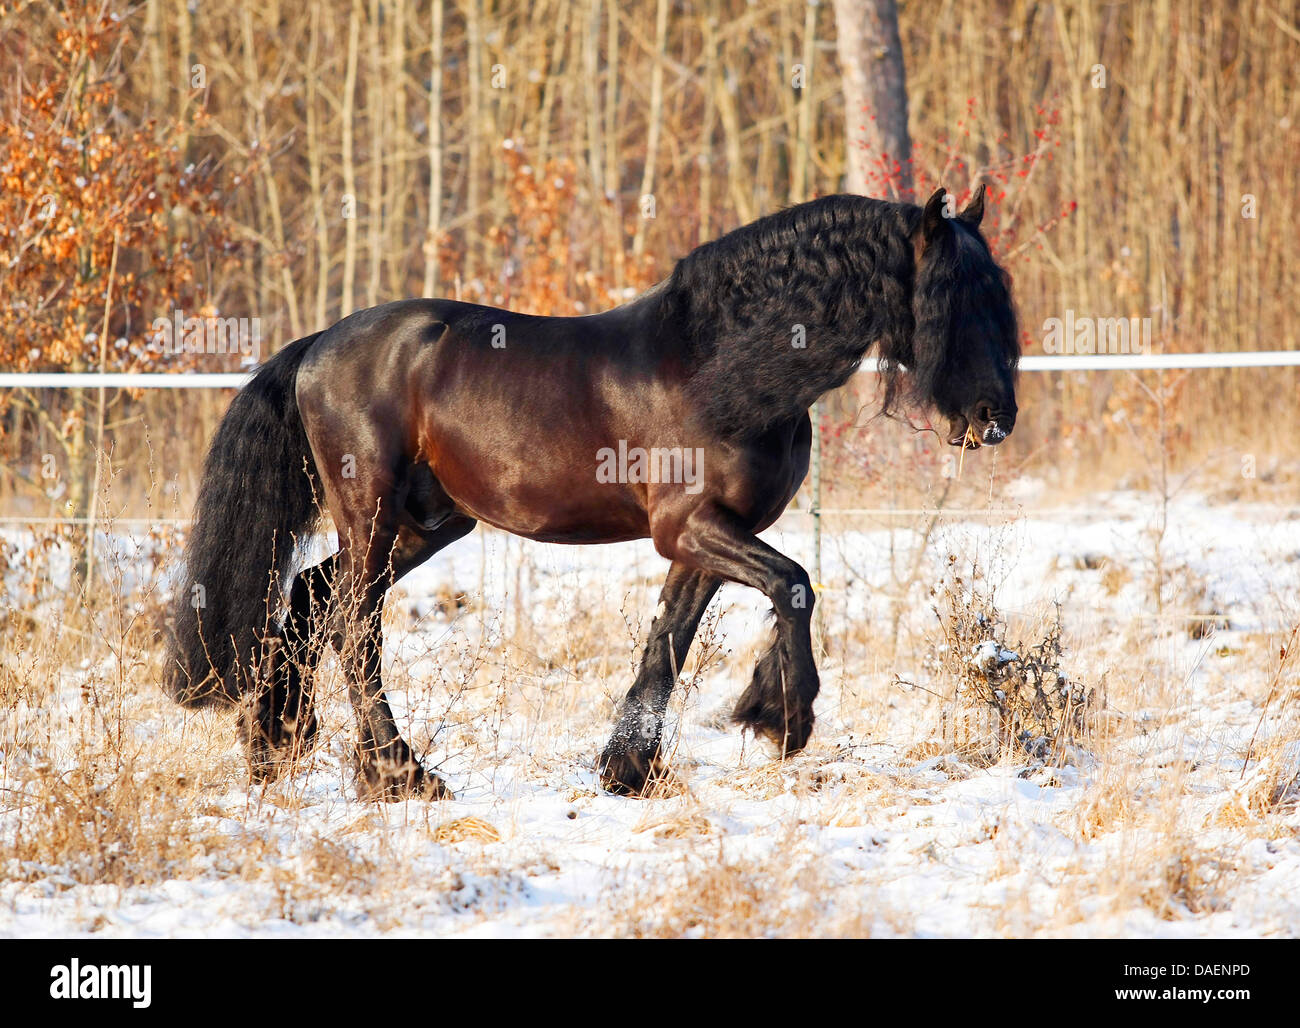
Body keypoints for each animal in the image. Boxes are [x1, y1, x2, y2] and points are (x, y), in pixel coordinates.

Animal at [164, 185, 1019, 800]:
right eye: (954, 298)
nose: (994, 418)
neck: (719, 368)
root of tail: (319, 346)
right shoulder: (692, 528)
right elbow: (795, 584)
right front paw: (783, 717)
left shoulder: (704, 539)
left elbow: (668, 642)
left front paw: (629, 769)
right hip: (371, 514)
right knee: (353, 627)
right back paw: (402, 777)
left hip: (426, 522)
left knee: (312, 603)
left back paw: (277, 747)